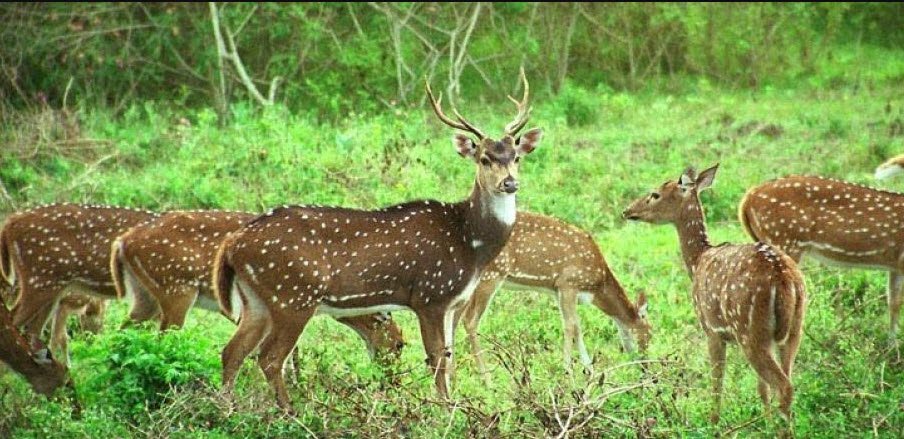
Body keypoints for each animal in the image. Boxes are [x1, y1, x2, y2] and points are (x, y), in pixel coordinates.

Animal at [111, 210, 405, 360]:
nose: (390, 379)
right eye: (399, 345)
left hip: (145, 296)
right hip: (177, 289)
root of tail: (123, 243)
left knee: (124, 330)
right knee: (163, 337)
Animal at [212, 70, 542, 410]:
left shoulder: (454, 301)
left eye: (516, 157)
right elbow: (437, 359)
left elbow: (449, 360)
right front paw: (445, 410)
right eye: (485, 158)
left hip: (257, 299)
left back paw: (227, 410)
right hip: (293, 295)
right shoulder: (429, 295)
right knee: (269, 357)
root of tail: (232, 244)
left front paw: (454, 405)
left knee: (232, 352)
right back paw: (288, 411)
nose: (510, 183)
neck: (470, 244)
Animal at [455, 211, 650, 379]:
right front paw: (568, 372)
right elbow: (570, 326)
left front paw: (589, 369)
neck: (596, 285)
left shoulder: (558, 290)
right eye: (649, 334)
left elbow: (577, 326)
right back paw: (486, 378)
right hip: (492, 273)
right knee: (470, 320)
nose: (645, 366)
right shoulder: (568, 282)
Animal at [623, 164, 807, 422]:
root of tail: (784, 279)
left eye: (655, 194)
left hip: (750, 331)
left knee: (783, 386)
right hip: (793, 330)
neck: (697, 260)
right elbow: (761, 389)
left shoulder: (711, 329)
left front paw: (713, 422)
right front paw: (764, 421)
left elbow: (716, 381)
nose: (628, 211)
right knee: (785, 381)